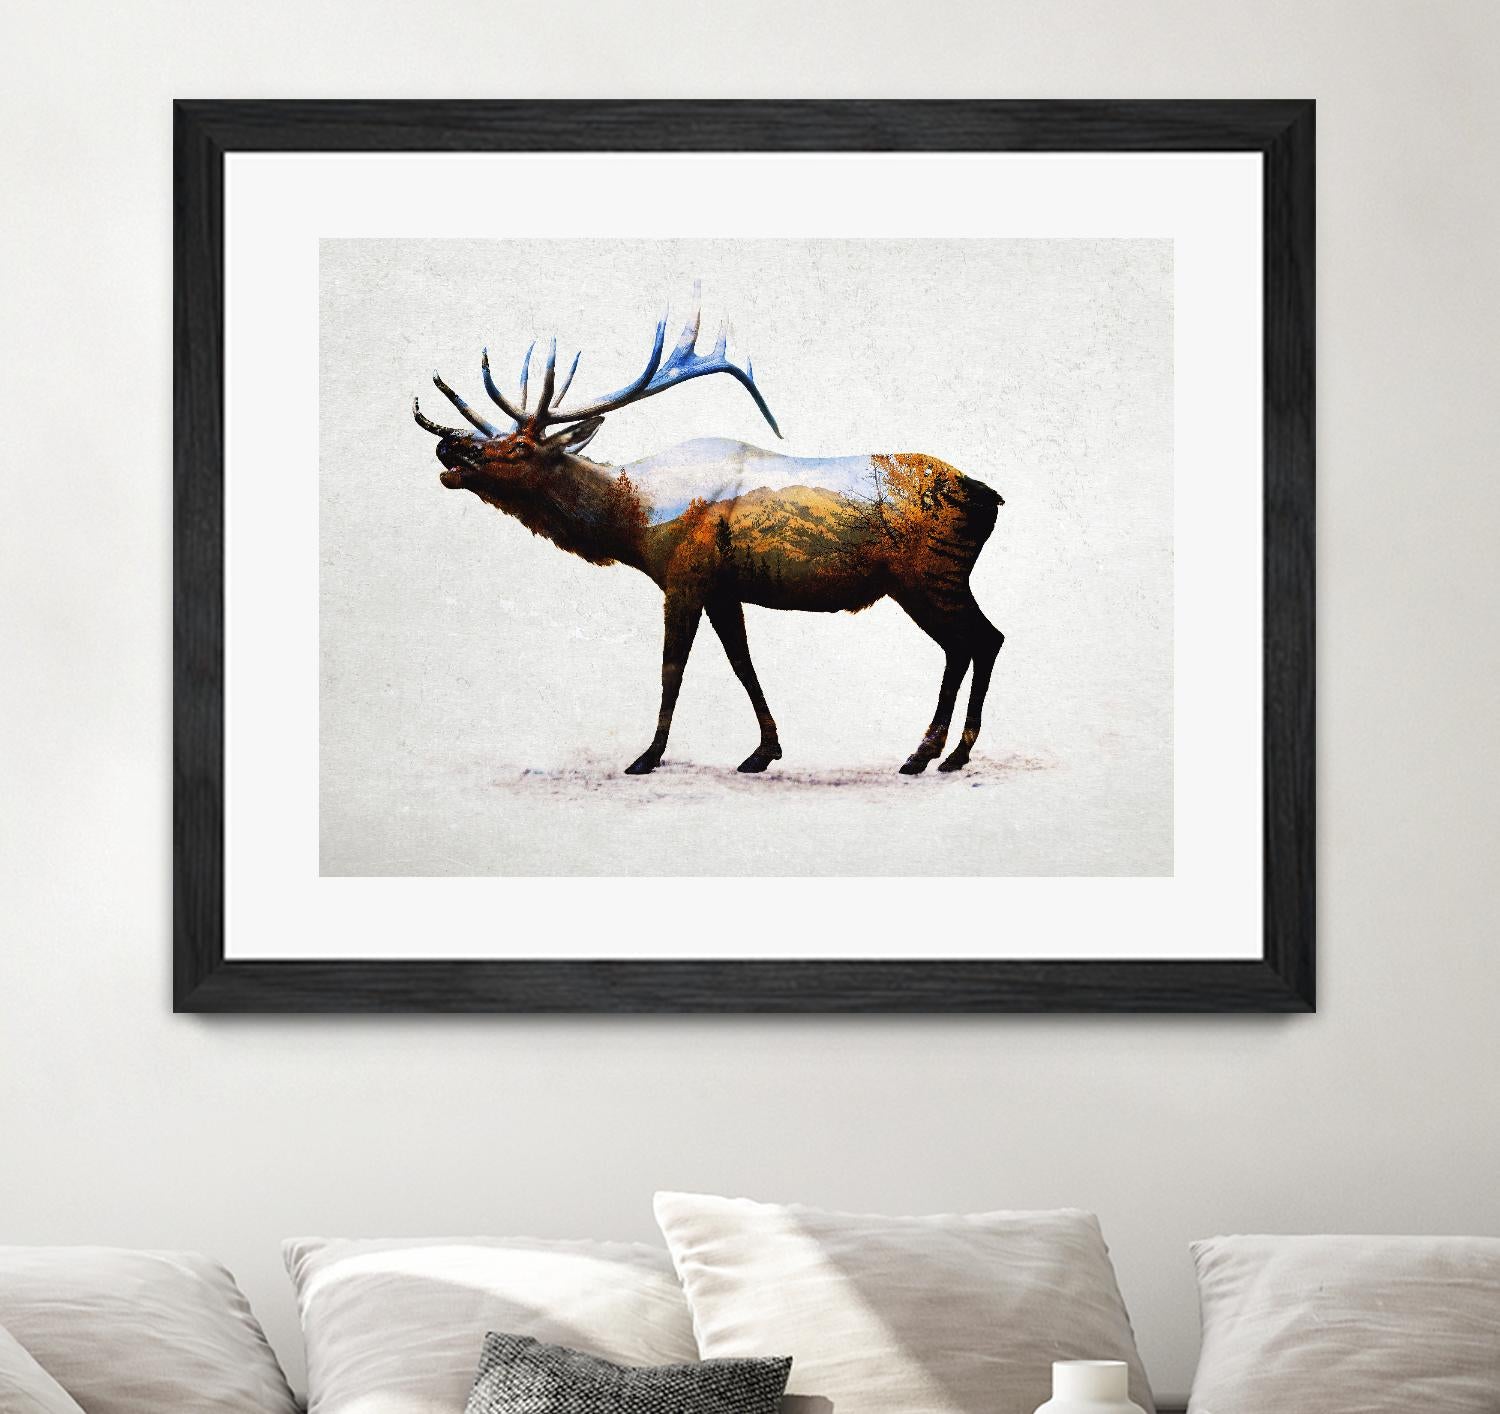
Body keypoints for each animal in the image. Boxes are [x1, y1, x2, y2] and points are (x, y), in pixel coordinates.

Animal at [414, 300, 1005, 777]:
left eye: (518, 447)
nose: (449, 448)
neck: (634, 520)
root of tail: (989, 497)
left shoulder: (684, 576)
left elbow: (671, 669)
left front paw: (648, 756)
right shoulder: (723, 589)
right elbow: (743, 663)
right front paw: (764, 751)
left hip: (929, 574)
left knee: (978, 640)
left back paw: (932, 754)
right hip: (936, 579)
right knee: (977, 641)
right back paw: (944, 754)